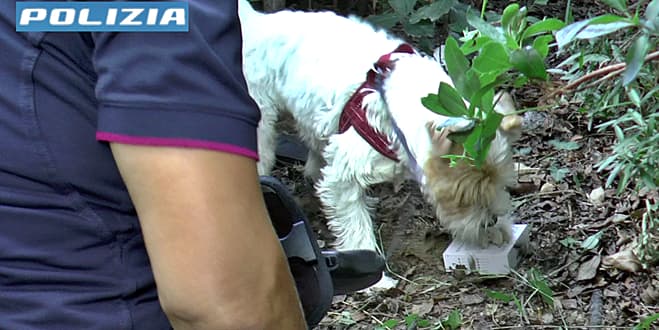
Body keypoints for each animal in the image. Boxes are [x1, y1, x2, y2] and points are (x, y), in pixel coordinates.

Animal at [240, 0, 524, 260]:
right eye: (462, 199)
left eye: (502, 185)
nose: (490, 220)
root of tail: (257, 22)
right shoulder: (343, 175)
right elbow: (355, 227)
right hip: (261, 120)